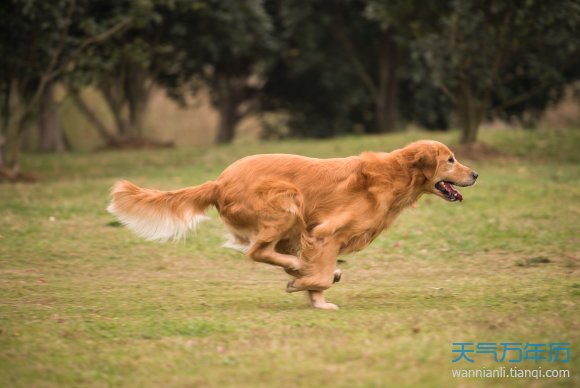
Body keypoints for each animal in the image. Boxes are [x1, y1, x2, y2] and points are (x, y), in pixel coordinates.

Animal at [107, 140, 476, 310]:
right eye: (450, 159)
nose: (475, 174)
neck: (395, 176)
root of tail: (219, 182)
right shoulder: (326, 232)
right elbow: (320, 274)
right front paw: (309, 287)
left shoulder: (315, 235)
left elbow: (320, 274)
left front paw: (317, 300)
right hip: (287, 200)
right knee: (258, 251)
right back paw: (298, 269)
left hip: (292, 223)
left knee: (270, 252)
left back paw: (298, 269)